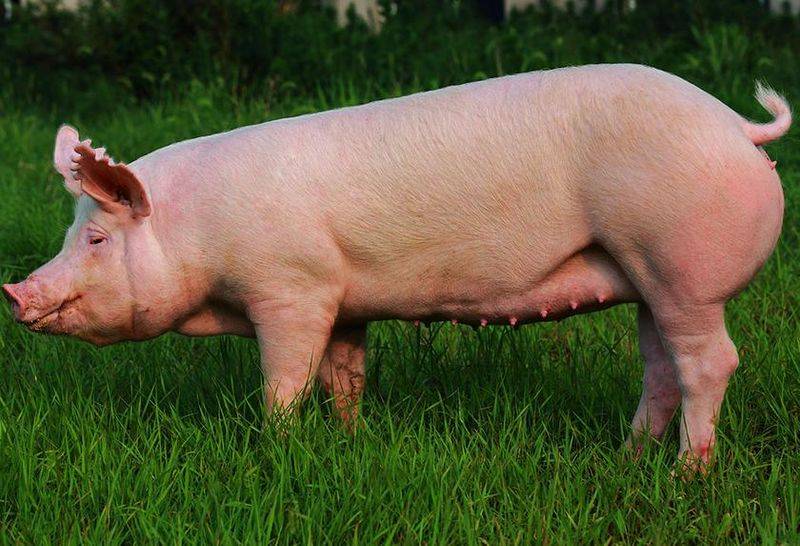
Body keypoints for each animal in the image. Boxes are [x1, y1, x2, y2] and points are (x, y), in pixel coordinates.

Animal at [2, 64, 791, 468]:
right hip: (647, 278)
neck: (199, 235)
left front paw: (277, 446)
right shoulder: (345, 300)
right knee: (659, 366)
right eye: (72, 233)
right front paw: (350, 441)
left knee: (709, 363)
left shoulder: (292, 289)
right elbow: (344, 377)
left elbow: (285, 382)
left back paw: (689, 475)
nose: (14, 292)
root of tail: (737, 126)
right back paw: (627, 458)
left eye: (95, 239)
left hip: (683, 266)